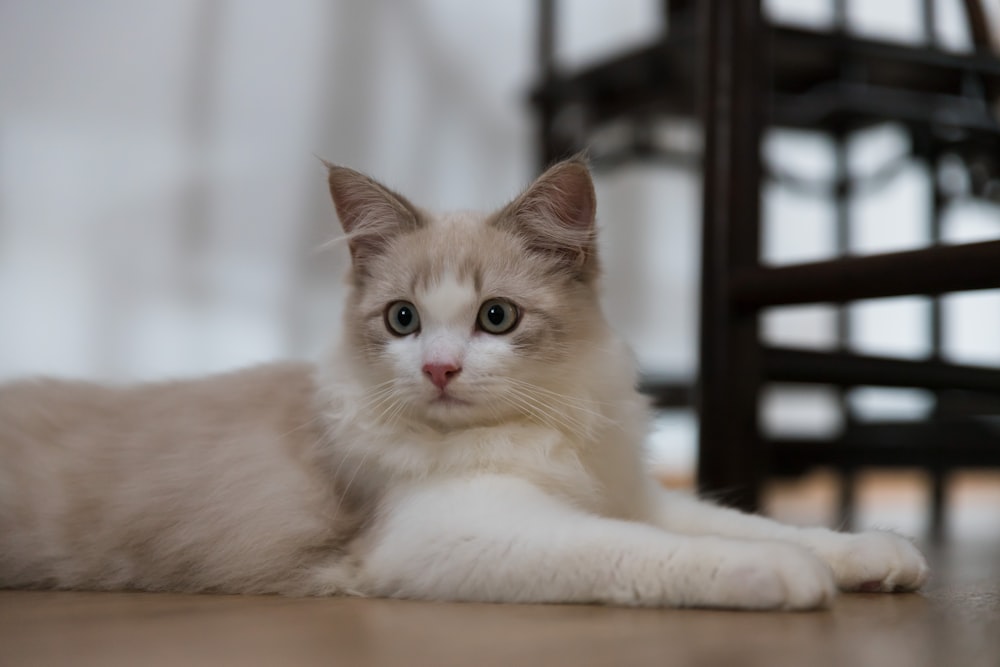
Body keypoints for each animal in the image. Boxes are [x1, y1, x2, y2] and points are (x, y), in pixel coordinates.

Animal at [0, 158, 928, 612]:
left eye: (496, 317)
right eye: (403, 319)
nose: (440, 369)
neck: (536, 430)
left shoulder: (626, 491)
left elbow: (744, 519)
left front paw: (873, 554)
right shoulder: (459, 533)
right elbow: (659, 550)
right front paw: (779, 574)